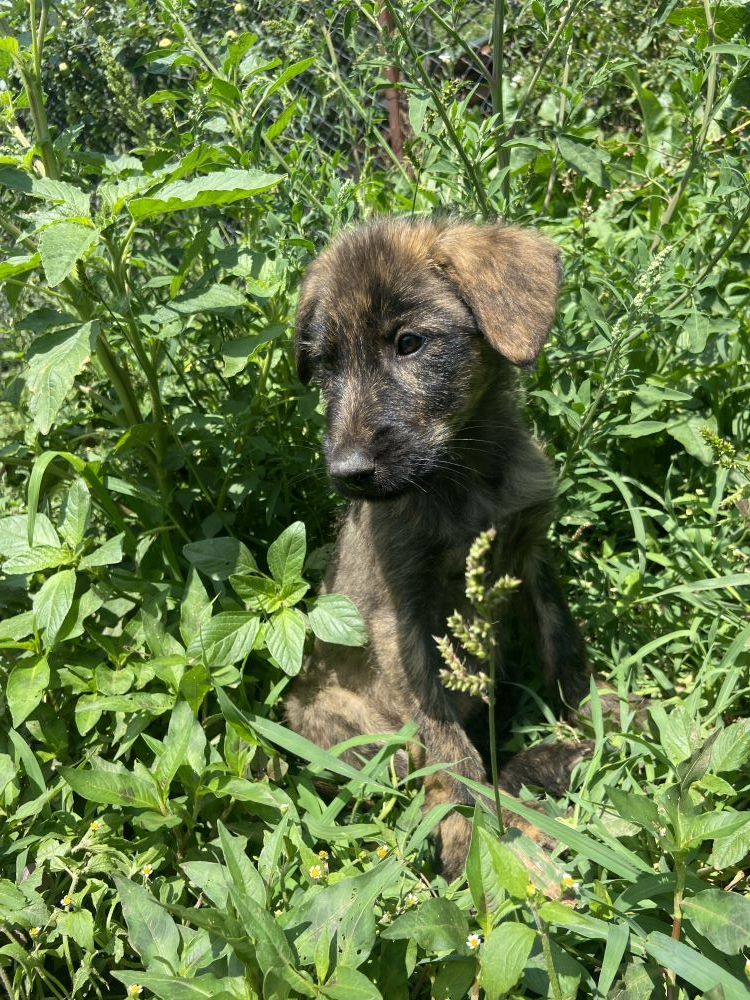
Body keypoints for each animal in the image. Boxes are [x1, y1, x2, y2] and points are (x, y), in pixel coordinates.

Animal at [284, 217, 592, 876]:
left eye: (409, 344)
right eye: (325, 365)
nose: (347, 473)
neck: (466, 479)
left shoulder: (530, 557)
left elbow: (565, 648)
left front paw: (604, 713)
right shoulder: (400, 616)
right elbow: (443, 737)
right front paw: (475, 834)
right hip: (343, 726)